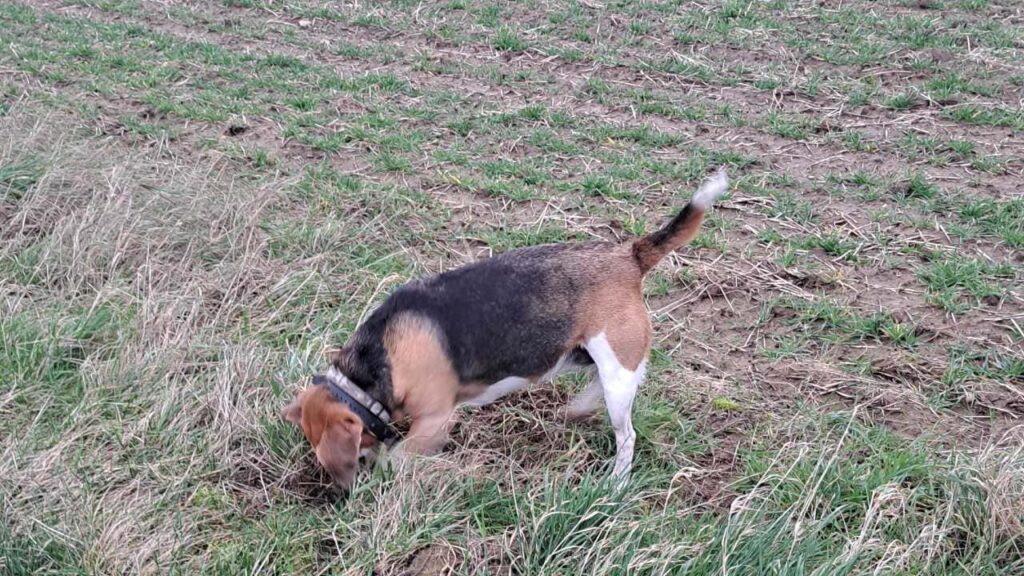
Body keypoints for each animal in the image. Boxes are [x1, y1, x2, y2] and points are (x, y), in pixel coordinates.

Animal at [282, 167, 729, 487]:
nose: (342, 493)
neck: (372, 367)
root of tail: (630, 254)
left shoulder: (435, 421)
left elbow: (399, 458)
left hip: (616, 367)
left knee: (627, 434)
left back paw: (615, 483)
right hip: (595, 357)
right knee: (602, 386)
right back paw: (578, 409)